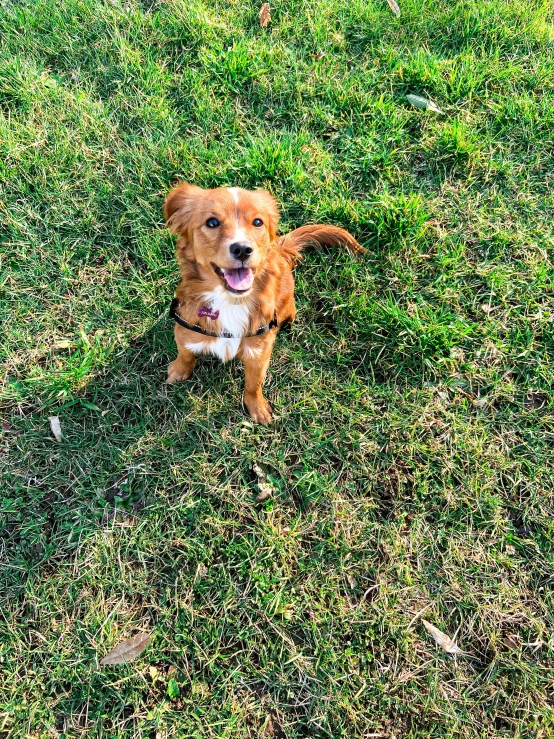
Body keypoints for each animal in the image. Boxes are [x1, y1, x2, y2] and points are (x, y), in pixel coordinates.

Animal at [164, 184, 362, 424]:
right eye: (212, 222)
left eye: (257, 222)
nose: (242, 249)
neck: (231, 301)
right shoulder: (184, 330)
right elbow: (184, 354)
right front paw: (179, 371)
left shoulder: (259, 352)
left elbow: (253, 384)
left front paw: (257, 408)